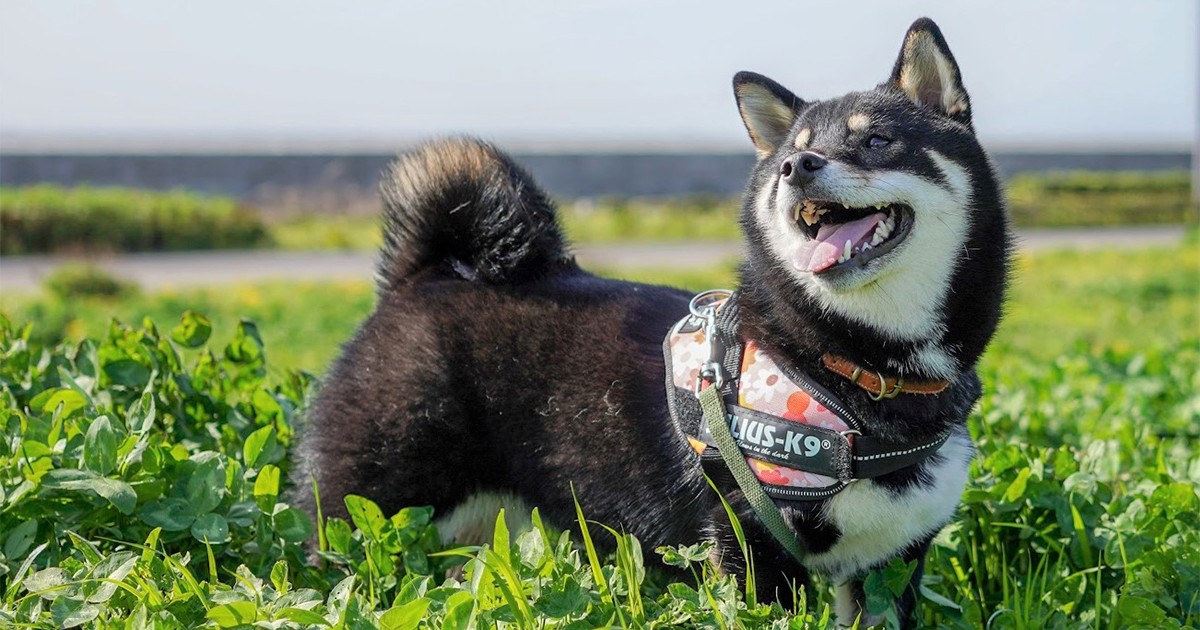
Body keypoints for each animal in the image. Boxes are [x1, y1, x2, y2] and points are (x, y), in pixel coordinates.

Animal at [295, 18, 1008, 624]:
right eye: (795, 150)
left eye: (878, 140)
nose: (793, 167)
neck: (848, 369)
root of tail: (422, 278)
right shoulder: (749, 539)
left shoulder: (892, 564)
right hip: (370, 510)